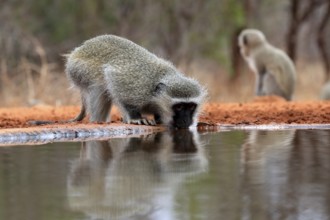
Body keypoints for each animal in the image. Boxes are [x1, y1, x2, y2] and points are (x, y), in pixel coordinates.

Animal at [31, 34, 206, 129]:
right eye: (179, 107)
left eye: (191, 107)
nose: (186, 121)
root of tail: (77, 51)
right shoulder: (136, 86)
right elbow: (114, 82)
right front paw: (135, 117)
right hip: (78, 69)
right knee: (99, 88)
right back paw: (99, 122)